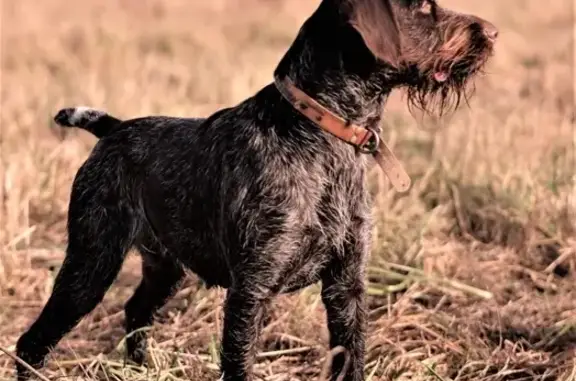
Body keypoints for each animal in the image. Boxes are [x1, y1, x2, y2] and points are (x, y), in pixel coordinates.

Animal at [13, 1, 496, 378]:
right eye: (423, 6)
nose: (492, 31)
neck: (323, 139)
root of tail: (113, 129)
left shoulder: (347, 287)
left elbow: (352, 360)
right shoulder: (252, 291)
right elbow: (239, 363)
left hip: (165, 268)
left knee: (135, 312)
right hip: (91, 263)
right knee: (32, 342)